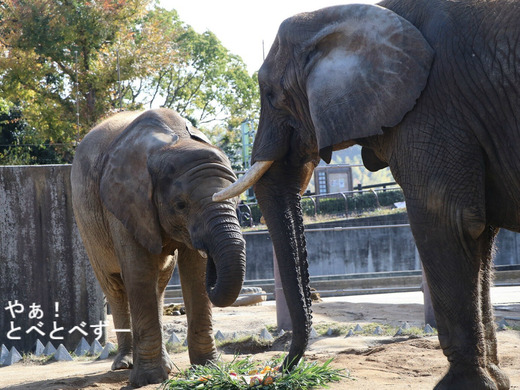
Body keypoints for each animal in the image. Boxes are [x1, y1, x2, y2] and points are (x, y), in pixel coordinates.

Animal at [70, 108, 247, 386]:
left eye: (238, 201)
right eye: (180, 205)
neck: (175, 141)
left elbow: (195, 271)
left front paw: (208, 368)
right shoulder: (124, 201)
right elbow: (138, 270)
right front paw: (148, 379)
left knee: (160, 283)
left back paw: (166, 364)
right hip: (86, 227)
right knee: (115, 287)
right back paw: (124, 364)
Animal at [213, 0, 516, 390]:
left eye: (270, 95)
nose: (278, 369)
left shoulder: (433, 108)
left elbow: (450, 221)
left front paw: (464, 386)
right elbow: (481, 235)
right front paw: (495, 382)